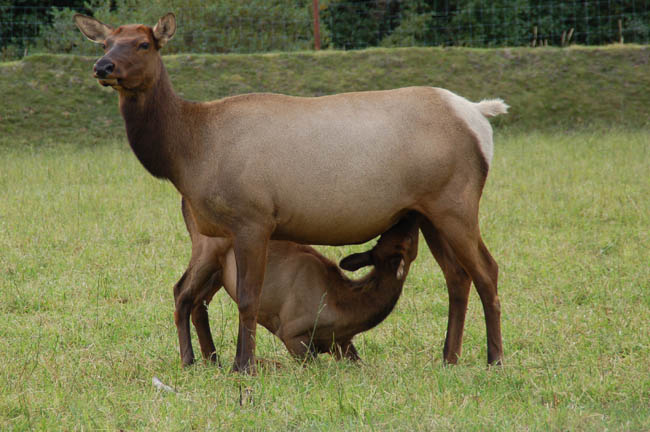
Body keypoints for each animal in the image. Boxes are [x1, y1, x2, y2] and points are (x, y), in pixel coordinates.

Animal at [176, 198, 420, 366]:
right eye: (407, 239)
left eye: (385, 237)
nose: (409, 214)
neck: (345, 311)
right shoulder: (291, 331)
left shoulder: (342, 343)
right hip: (208, 247)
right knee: (181, 292)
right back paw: (190, 361)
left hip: (218, 271)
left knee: (200, 303)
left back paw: (213, 360)